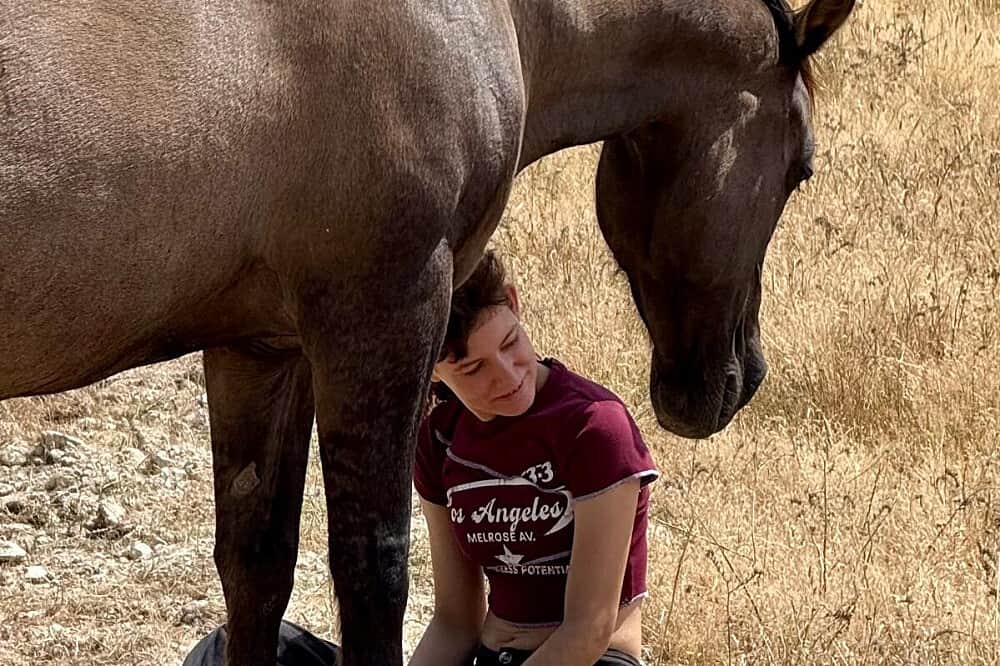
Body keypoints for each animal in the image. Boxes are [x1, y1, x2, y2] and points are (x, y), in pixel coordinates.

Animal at [0, 0, 855, 663]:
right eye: (802, 170)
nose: (738, 379)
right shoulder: (387, 315)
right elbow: (373, 570)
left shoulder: (262, 351)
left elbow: (256, 563)